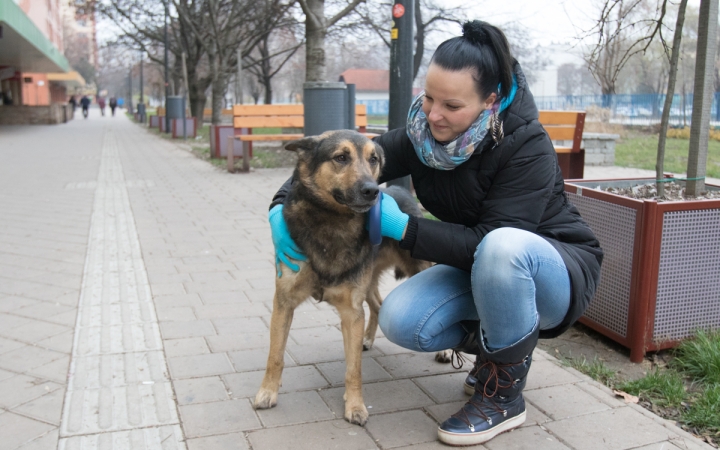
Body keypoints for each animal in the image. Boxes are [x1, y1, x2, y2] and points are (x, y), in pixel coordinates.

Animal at [253, 129, 434, 426]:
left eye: (373, 159)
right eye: (340, 157)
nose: (372, 191)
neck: (332, 224)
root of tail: (400, 191)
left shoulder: (351, 312)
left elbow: (354, 370)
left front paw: (356, 406)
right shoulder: (283, 303)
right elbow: (275, 356)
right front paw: (267, 392)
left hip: (415, 269)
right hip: (368, 281)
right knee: (377, 305)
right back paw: (367, 340)